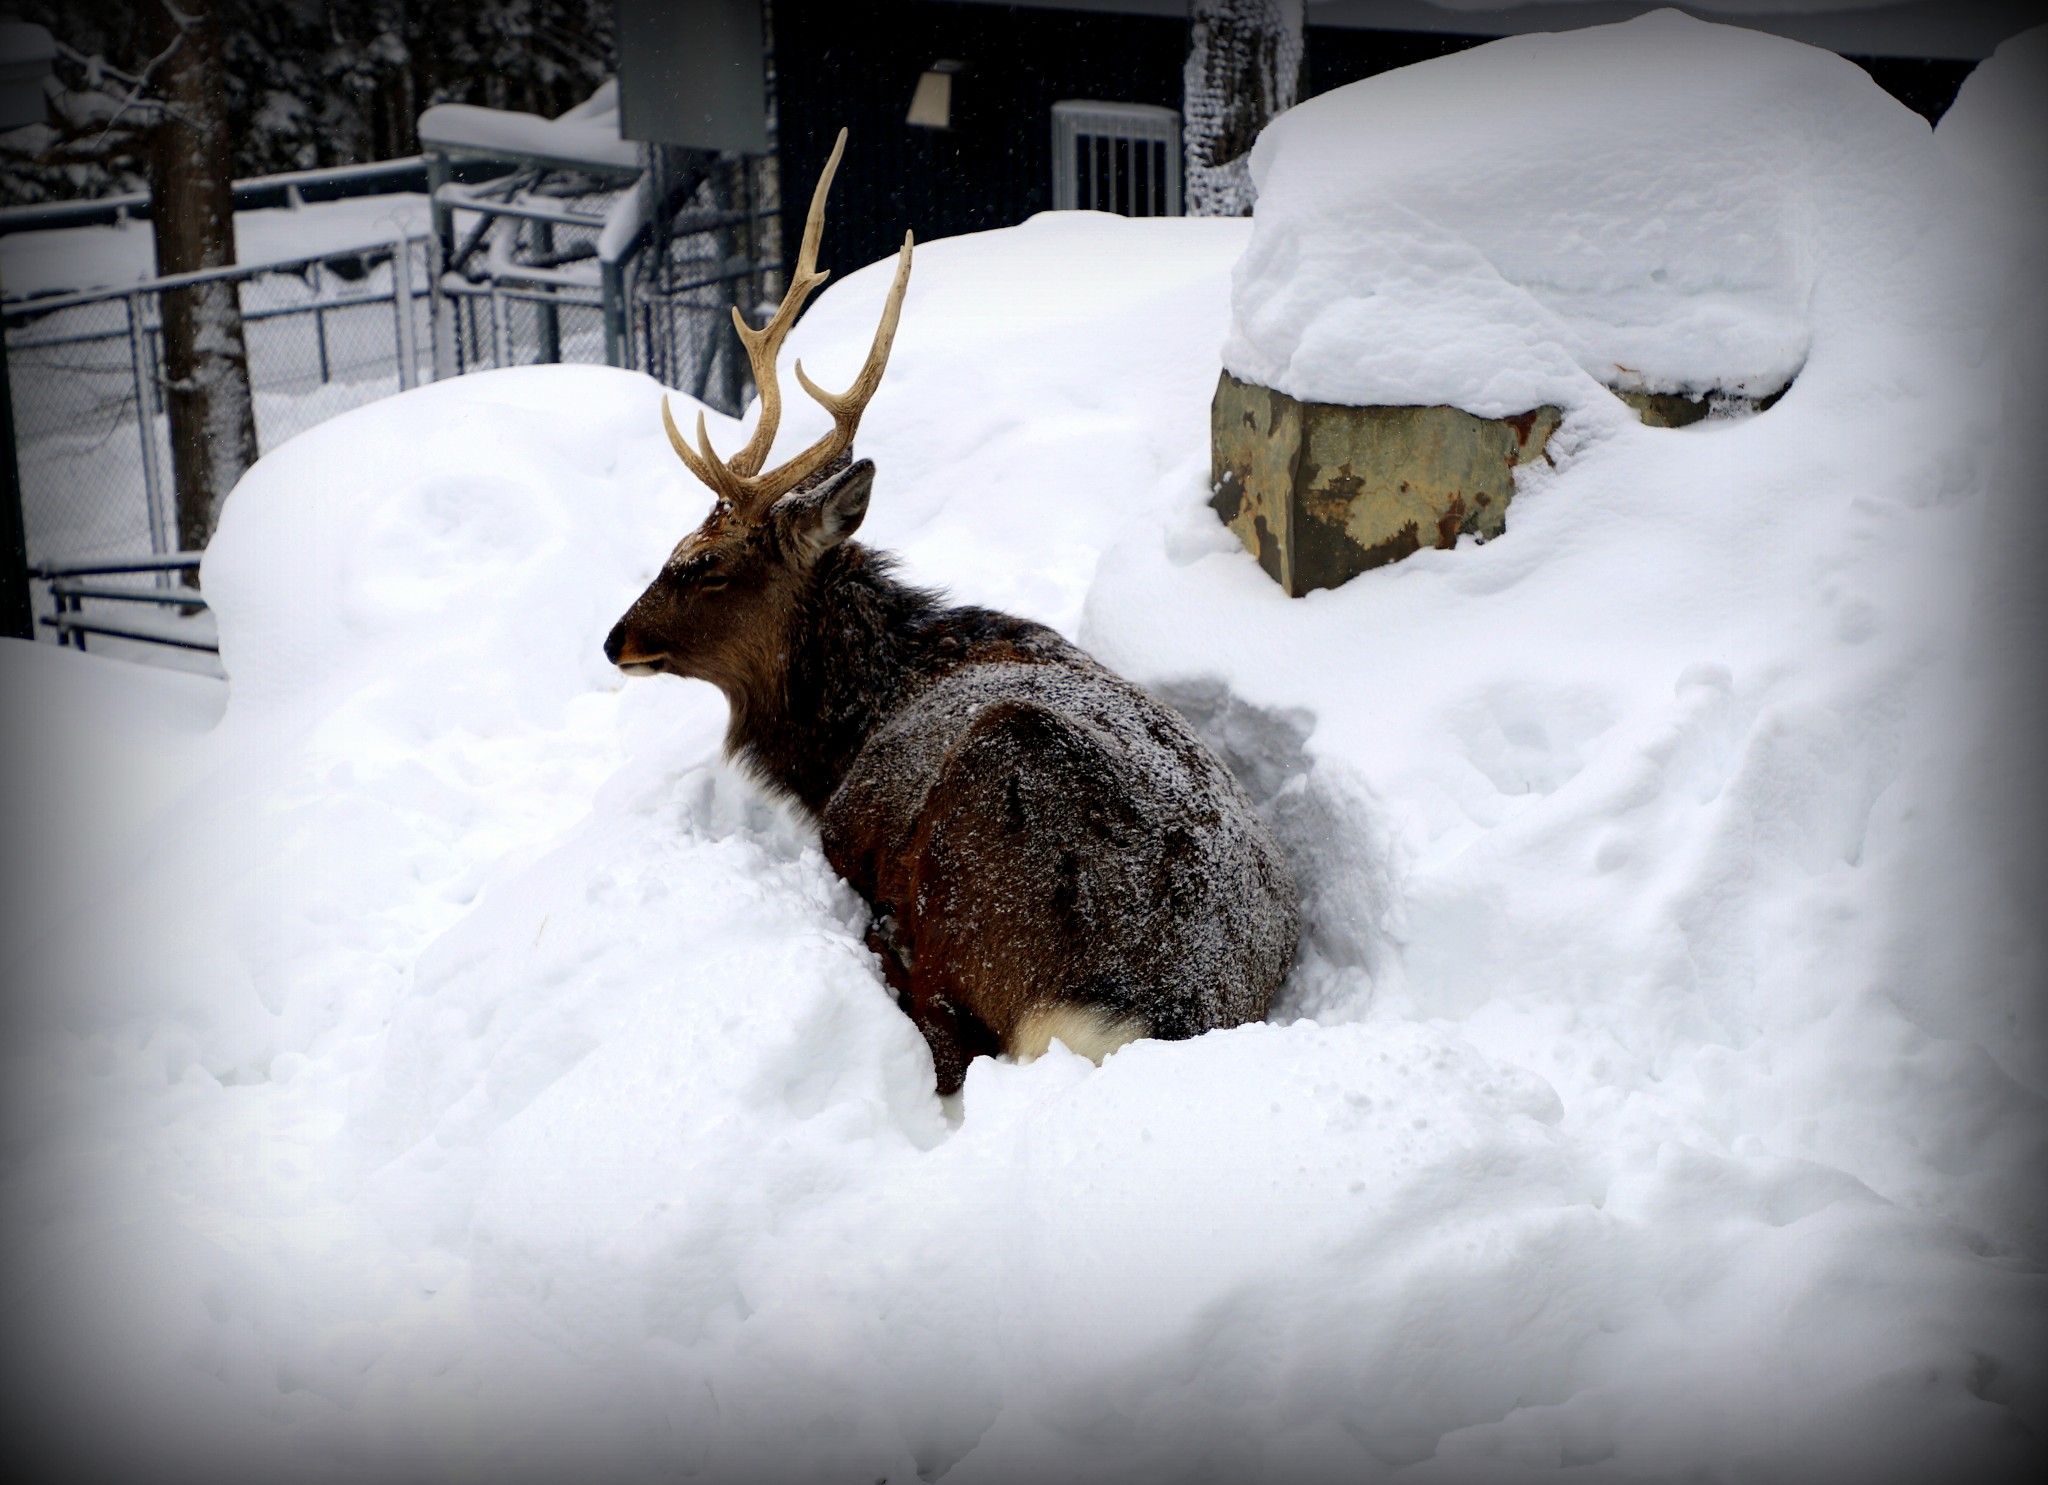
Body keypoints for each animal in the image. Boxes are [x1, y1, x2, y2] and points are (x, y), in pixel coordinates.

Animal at [598, 136, 1294, 1089]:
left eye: (702, 565)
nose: (613, 639)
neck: (845, 728)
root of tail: (1152, 1011)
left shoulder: (851, 816)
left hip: (988, 810)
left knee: (945, 1028)